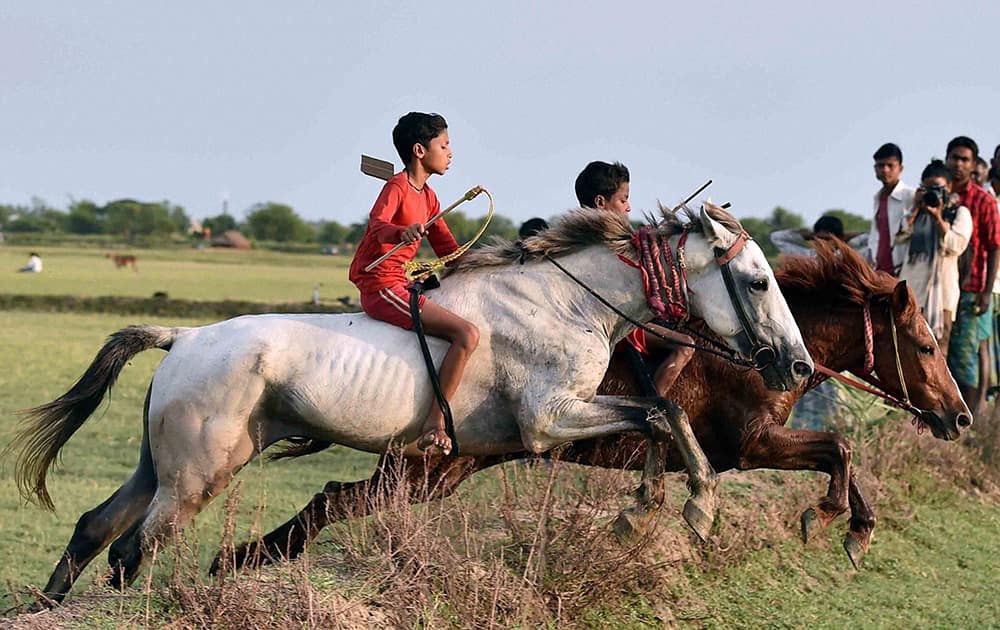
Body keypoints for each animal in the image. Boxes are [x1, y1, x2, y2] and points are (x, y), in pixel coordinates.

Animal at [13, 205, 812, 604]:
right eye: (758, 279)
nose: (798, 367)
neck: (569, 300)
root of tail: (184, 337)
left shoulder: (574, 415)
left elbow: (661, 421)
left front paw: (651, 512)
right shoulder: (549, 420)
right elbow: (661, 418)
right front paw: (686, 510)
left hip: (167, 467)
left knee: (95, 528)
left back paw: (48, 605)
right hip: (196, 476)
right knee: (131, 549)